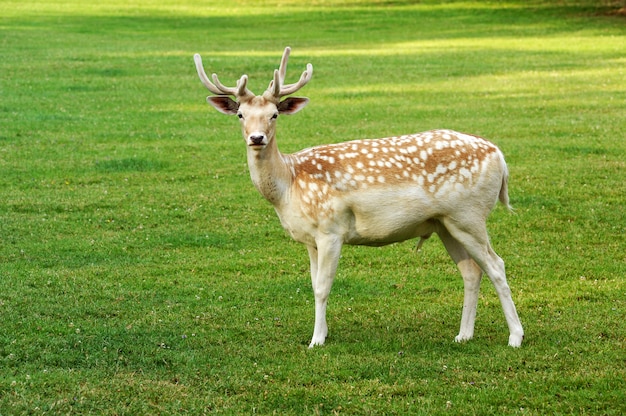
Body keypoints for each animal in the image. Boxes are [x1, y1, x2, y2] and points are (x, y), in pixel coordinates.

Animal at [194, 46, 520, 348]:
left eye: (274, 114)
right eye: (240, 115)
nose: (257, 138)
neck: (289, 185)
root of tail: (500, 157)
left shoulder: (331, 229)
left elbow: (322, 287)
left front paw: (316, 340)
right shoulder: (310, 239)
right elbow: (313, 283)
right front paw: (323, 333)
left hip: (469, 215)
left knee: (496, 265)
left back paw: (515, 337)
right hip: (445, 223)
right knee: (471, 270)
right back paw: (463, 335)